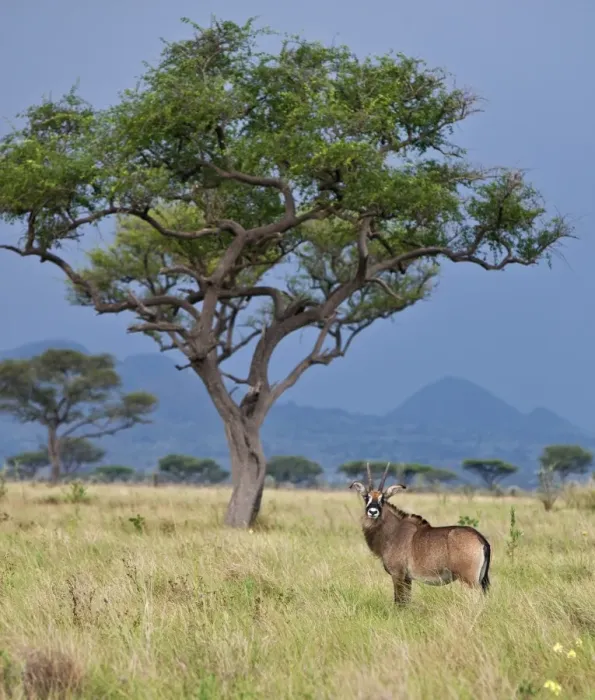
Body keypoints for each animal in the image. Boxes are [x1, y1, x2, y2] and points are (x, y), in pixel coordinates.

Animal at [350, 463, 491, 604]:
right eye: (366, 497)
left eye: (382, 498)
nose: (373, 511)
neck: (393, 531)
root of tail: (480, 539)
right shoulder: (407, 578)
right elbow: (406, 601)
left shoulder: (398, 574)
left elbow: (399, 602)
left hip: (469, 581)